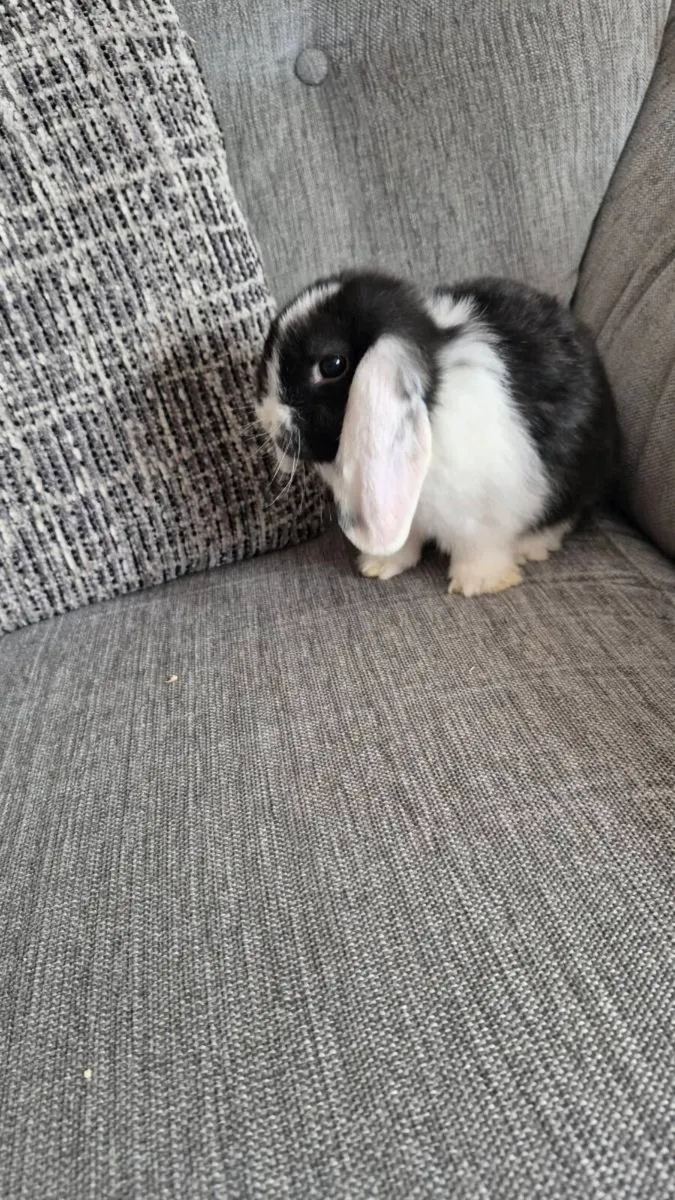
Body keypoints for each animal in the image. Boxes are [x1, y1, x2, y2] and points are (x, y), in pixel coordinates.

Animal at [257, 270, 619, 596]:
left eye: (331, 365)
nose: (266, 417)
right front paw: (377, 565)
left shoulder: (485, 517)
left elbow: (480, 549)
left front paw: (478, 584)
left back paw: (531, 546)